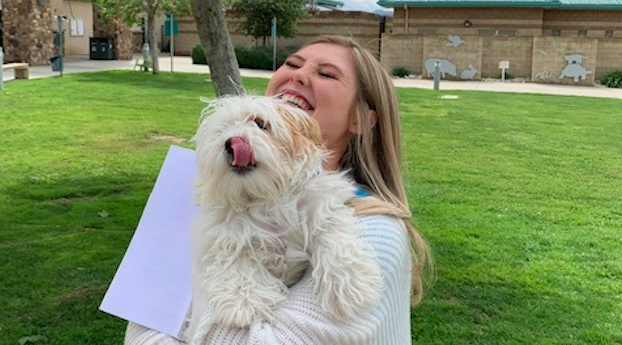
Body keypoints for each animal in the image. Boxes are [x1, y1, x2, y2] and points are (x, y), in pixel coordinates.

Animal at [190, 95, 382, 342]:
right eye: (221, 130)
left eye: (260, 123)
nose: (231, 142)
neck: (267, 199)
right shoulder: (229, 232)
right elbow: (237, 259)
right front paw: (243, 301)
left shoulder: (321, 203)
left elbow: (332, 233)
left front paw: (349, 284)